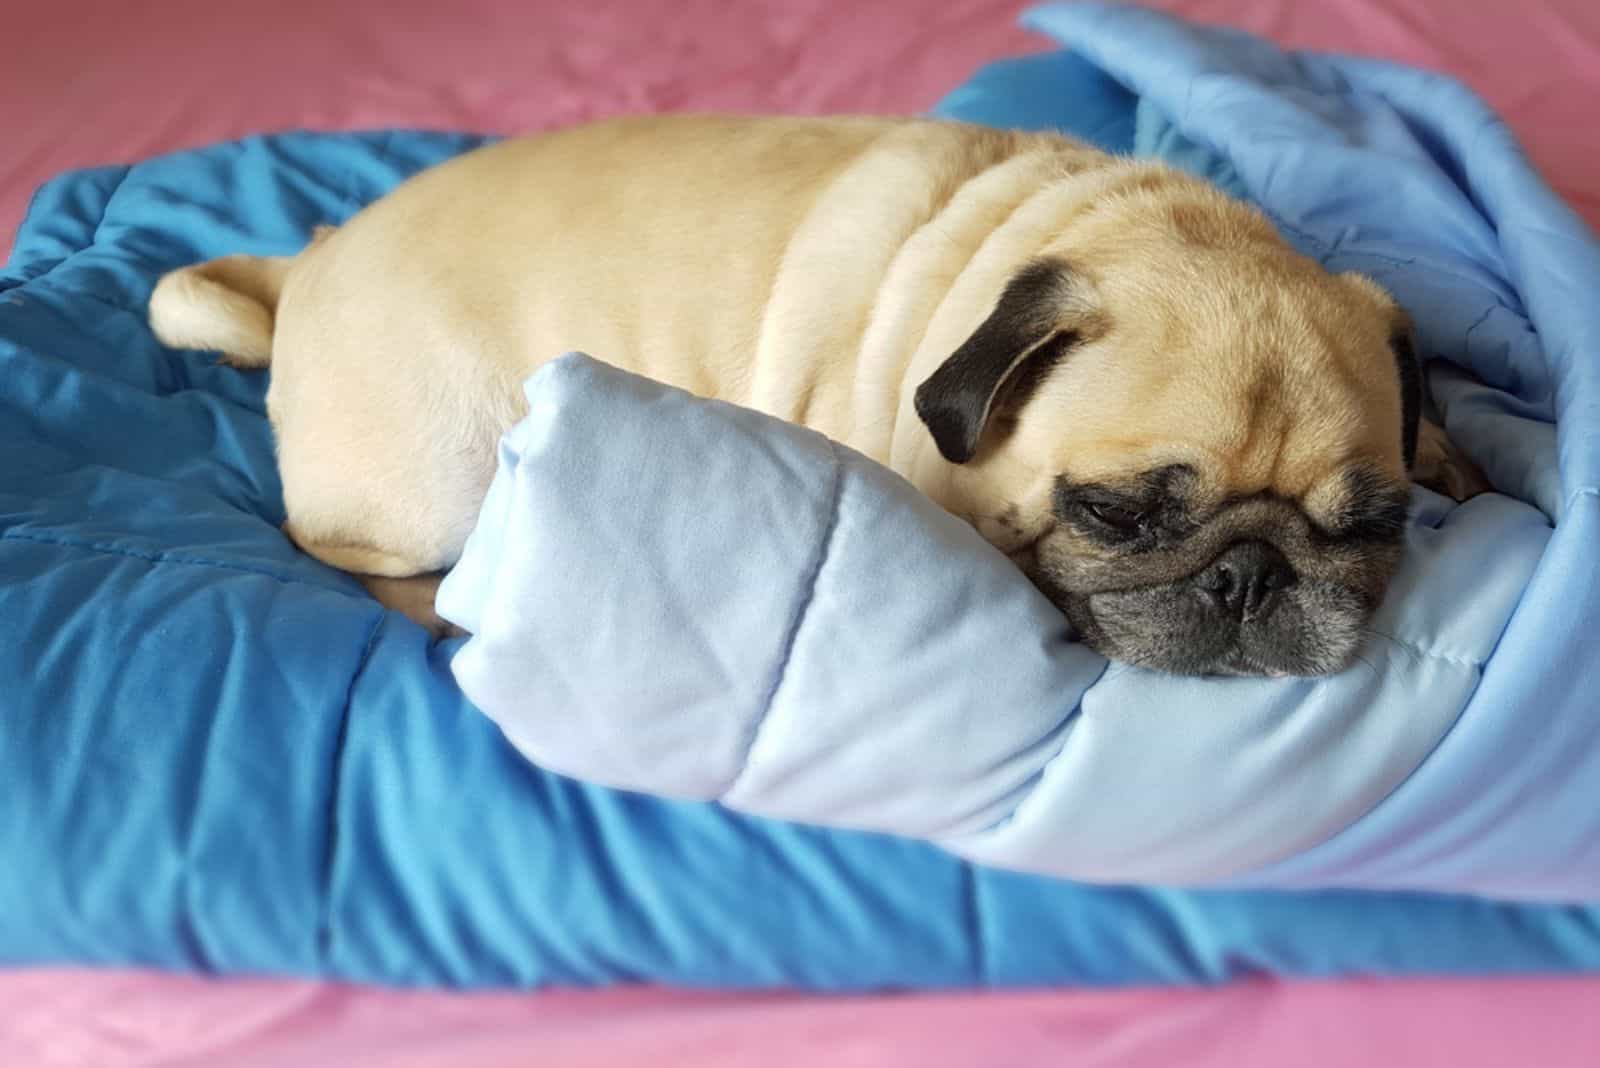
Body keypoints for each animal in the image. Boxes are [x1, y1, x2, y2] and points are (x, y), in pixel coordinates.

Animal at [150, 115, 1484, 674]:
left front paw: (1455, 456)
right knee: (344, 551)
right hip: (441, 479)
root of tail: (307, 262)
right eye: (1112, 514)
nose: (1251, 574)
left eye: (1373, 528)